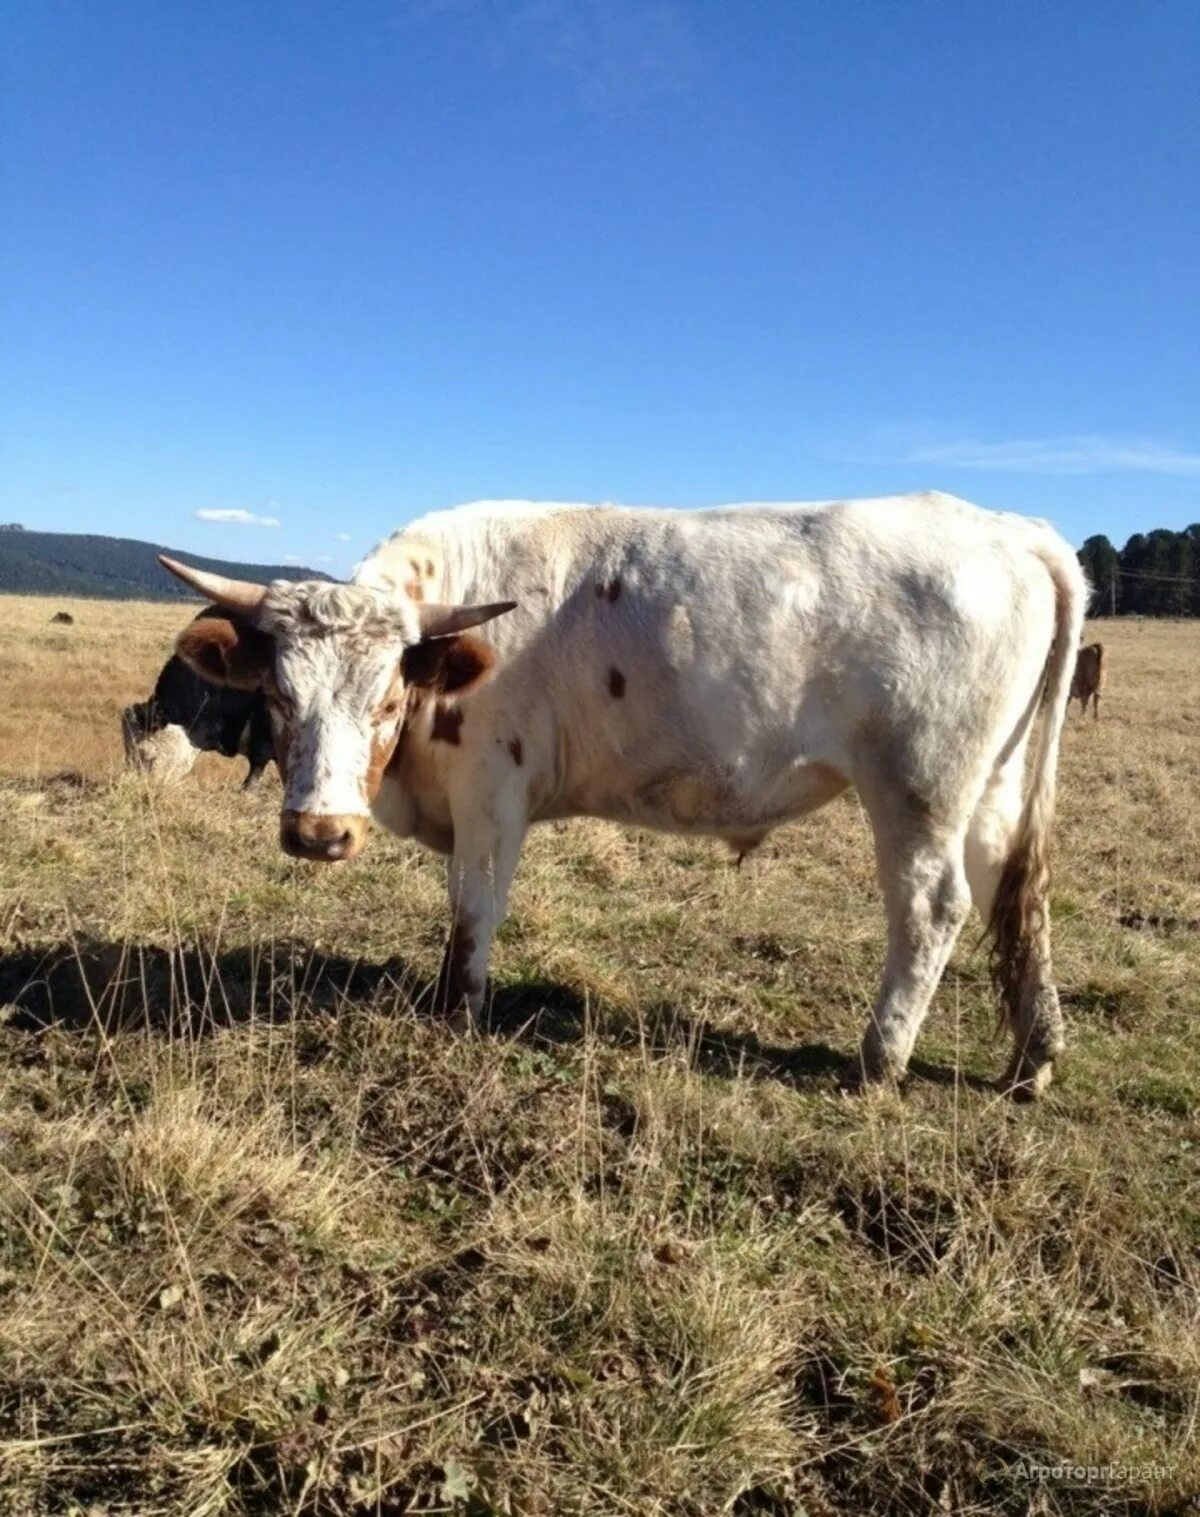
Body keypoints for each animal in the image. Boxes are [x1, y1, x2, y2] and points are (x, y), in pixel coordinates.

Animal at [159, 491, 1086, 1098]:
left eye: (387, 699)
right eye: (278, 696)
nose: (321, 833)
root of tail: (1013, 530)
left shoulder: (492, 790)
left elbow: (474, 908)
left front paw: (458, 1014)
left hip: (917, 785)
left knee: (933, 904)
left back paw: (878, 1059)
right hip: (994, 785)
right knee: (1012, 893)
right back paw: (1030, 1058)